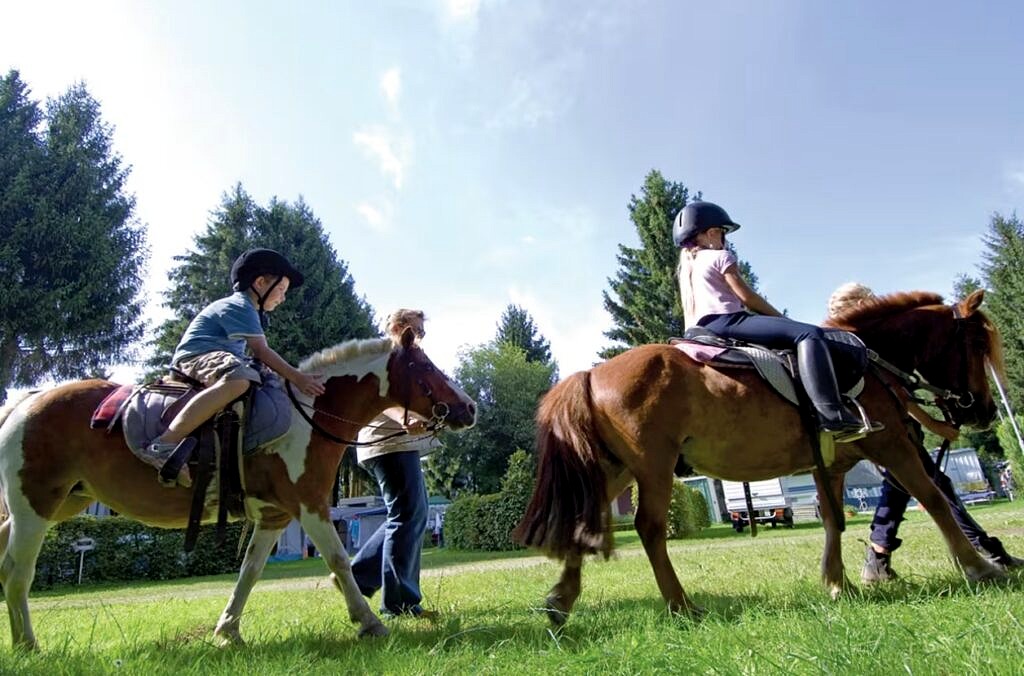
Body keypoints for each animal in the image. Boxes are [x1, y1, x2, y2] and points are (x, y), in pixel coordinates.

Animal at [0, 327, 475, 651]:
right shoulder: (310, 506)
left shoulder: (274, 517)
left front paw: (228, 630)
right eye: (427, 368)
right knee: (17, 572)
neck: (309, 413)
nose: (469, 408)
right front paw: (369, 622)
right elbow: (340, 560)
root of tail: (25, 402)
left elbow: (249, 572)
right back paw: (28, 645)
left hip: (54, 504)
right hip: (34, 507)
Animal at [516, 288, 1003, 626]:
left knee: (584, 520)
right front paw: (980, 567)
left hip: (615, 469)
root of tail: (592, 373)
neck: (867, 361)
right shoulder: (894, 447)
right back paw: (681, 606)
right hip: (653, 466)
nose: (985, 410)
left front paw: (836, 582)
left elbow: (833, 519)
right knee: (650, 529)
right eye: (976, 346)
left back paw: (561, 600)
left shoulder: (831, 463)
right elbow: (934, 498)